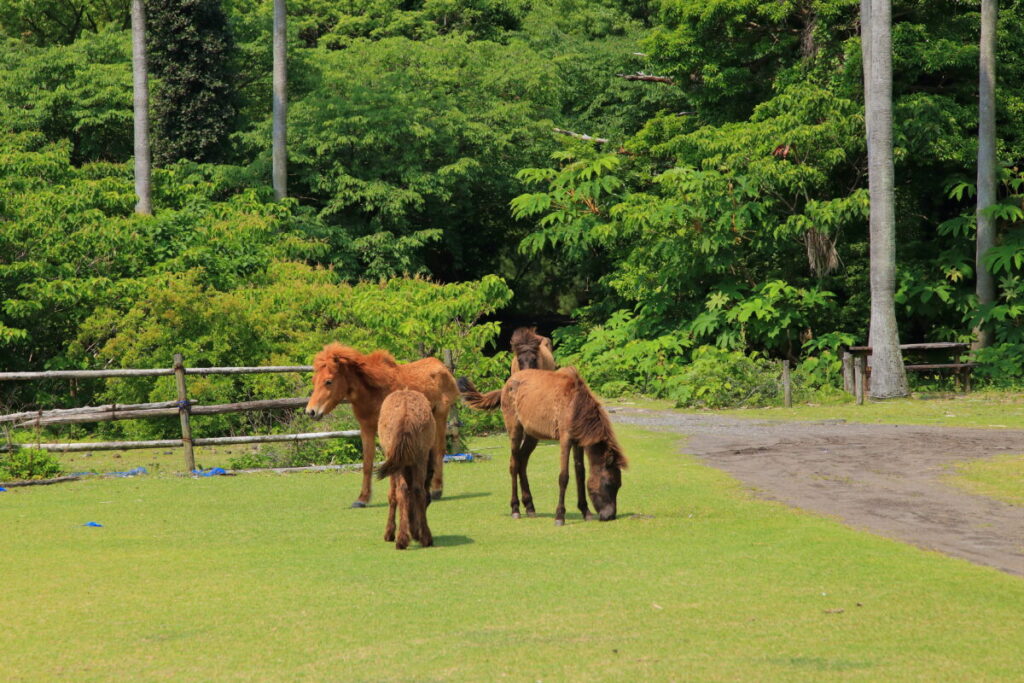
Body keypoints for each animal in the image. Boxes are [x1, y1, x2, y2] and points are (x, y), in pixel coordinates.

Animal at [305, 343, 459, 507]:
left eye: (328, 381)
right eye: (314, 380)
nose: (311, 411)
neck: (373, 392)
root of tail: (442, 367)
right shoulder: (366, 429)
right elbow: (367, 463)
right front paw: (362, 498)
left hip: (440, 416)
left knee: (438, 451)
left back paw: (436, 490)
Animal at [375, 390, 435, 550]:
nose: (414, 533)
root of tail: (406, 414)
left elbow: (392, 496)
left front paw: (389, 533)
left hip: (400, 464)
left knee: (401, 491)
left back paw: (402, 539)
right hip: (420, 458)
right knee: (418, 490)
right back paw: (426, 538)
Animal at [458, 368, 627, 525]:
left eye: (619, 485)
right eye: (609, 483)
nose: (610, 516)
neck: (575, 404)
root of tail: (506, 385)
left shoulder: (578, 442)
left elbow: (580, 473)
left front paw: (585, 511)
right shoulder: (565, 440)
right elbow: (564, 476)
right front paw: (560, 516)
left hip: (532, 435)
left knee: (522, 462)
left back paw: (530, 507)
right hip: (515, 430)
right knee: (514, 464)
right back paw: (515, 509)